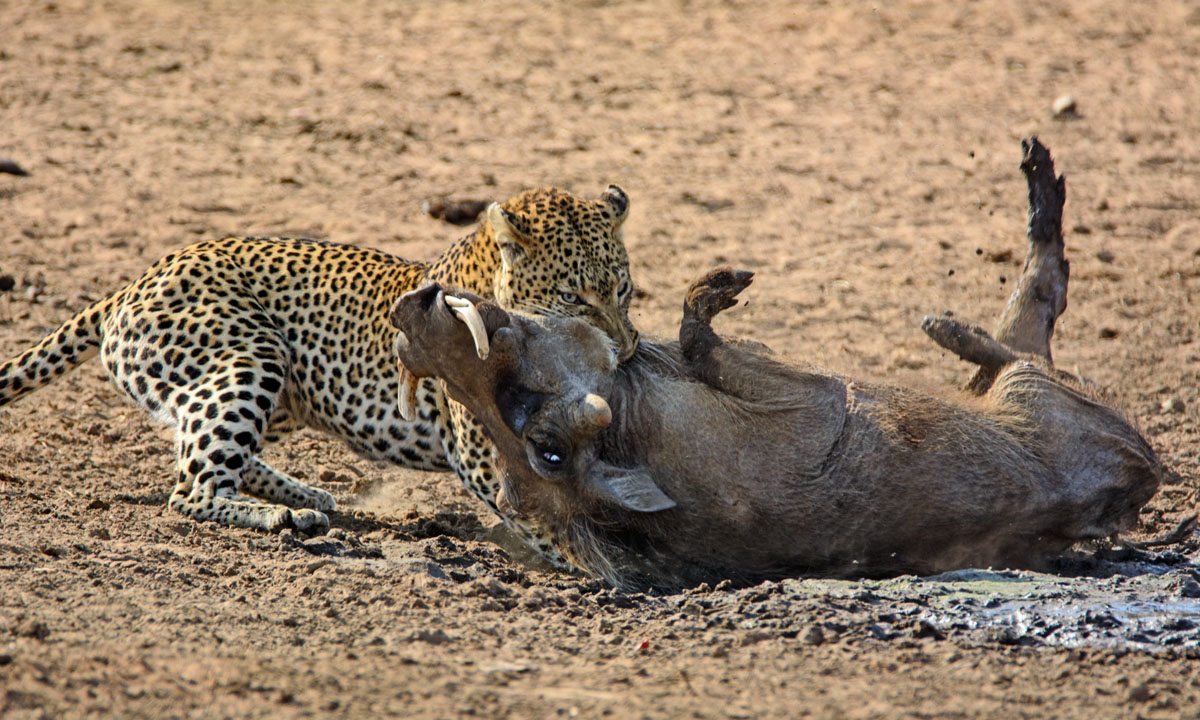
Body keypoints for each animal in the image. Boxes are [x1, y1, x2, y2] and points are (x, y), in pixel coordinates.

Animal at [0, 185, 637, 566]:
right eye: (572, 297)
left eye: (623, 288)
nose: (628, 348)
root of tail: (136, 279)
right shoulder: (485, 451)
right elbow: (551, 517)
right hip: (251, 358)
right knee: (191, 489)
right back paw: (285, 515)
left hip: (277, 390)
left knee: (197, 448)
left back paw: (303, 492)